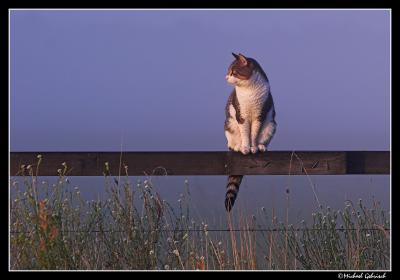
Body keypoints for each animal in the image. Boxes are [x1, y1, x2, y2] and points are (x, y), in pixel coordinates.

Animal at [223, 52, 276, 211]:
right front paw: (246, 147)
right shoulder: (242, 116)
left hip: (271, 126)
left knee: (262, 138)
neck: (249, 90)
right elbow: (246, 134)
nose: (225, 77)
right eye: (228, 71)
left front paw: (253, 147)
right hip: (229, 126)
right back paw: (238, 147)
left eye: (233, 71)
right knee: (233, 142)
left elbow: (254, 134)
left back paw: (261, 146)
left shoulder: (260, 115)